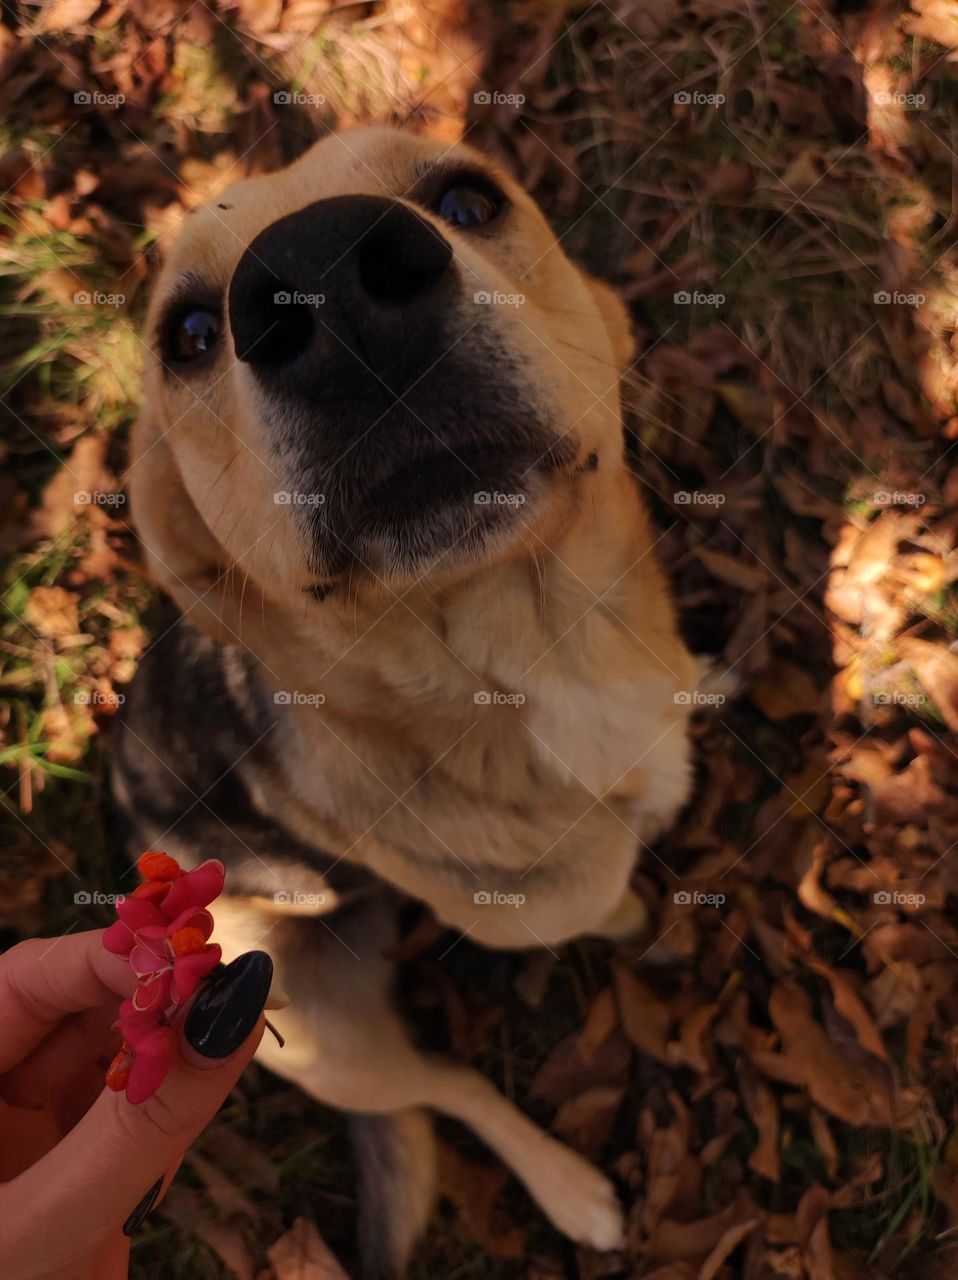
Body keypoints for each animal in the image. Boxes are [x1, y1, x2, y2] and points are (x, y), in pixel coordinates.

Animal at [112, 124, 701, 1274]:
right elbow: (594, 897)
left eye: (467, 200)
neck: (537, 664)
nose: (330, 277)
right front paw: (625, 909)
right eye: (189, 334)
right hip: (313, 1039)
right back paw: (570, 1190)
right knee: (453, 1087)